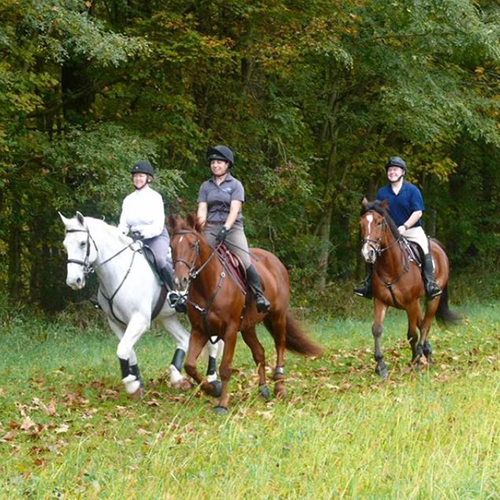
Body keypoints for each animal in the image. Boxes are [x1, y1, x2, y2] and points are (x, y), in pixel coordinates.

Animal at [60, 211, 221, 398]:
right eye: (65, 245)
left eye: (82, 243)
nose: (74, 281)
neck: (121, 271)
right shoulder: (116, 323)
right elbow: (128, 351)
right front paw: (137, 384)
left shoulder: (140, 321)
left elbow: (122, 349)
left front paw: (131, 385)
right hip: (167, 318)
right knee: (184, 339)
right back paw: (177, 378)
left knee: (213, 344)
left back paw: (211, 379)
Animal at [168, 214, 324, 414]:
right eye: (172, 246)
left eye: (193, 245)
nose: (180, 281)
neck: (208, 285)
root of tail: (274, 260)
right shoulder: (199, 330)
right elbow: (190, 366)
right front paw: (213, 389)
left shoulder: (230, 330)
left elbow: (225, 368)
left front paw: (222, 404)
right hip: (248, 327)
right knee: (259, 352)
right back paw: (263, 389)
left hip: (277, 317)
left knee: (279, 346)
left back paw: (279, 386)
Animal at [360, 197, 460, 376]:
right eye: (361, 223)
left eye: (379, 222)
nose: (367, 253)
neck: (390, 267)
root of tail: (436, 244)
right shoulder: (380, 301)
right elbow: (377, 329)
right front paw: (381, 366)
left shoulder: (410, 303)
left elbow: (412, 334)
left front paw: (416, 361)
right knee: (422, 323)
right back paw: (427, 352)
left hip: (433, 298)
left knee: (426, 325)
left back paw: (423, 353)